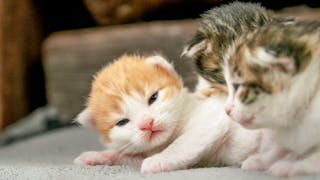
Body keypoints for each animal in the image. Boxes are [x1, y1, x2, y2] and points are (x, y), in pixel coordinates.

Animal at [73, 54, 270, 173]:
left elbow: (182, 144)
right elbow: (128, 157)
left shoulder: (211, 118)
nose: (147, 123)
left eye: (153, 98)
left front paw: (158, 160)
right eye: (122, 122)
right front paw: (96, 156)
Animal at [224, 20, 320, 176]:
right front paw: (263, 159)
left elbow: (316, 158)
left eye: (237, 86)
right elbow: (282, 148)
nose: (226, 110)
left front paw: (293, 166)